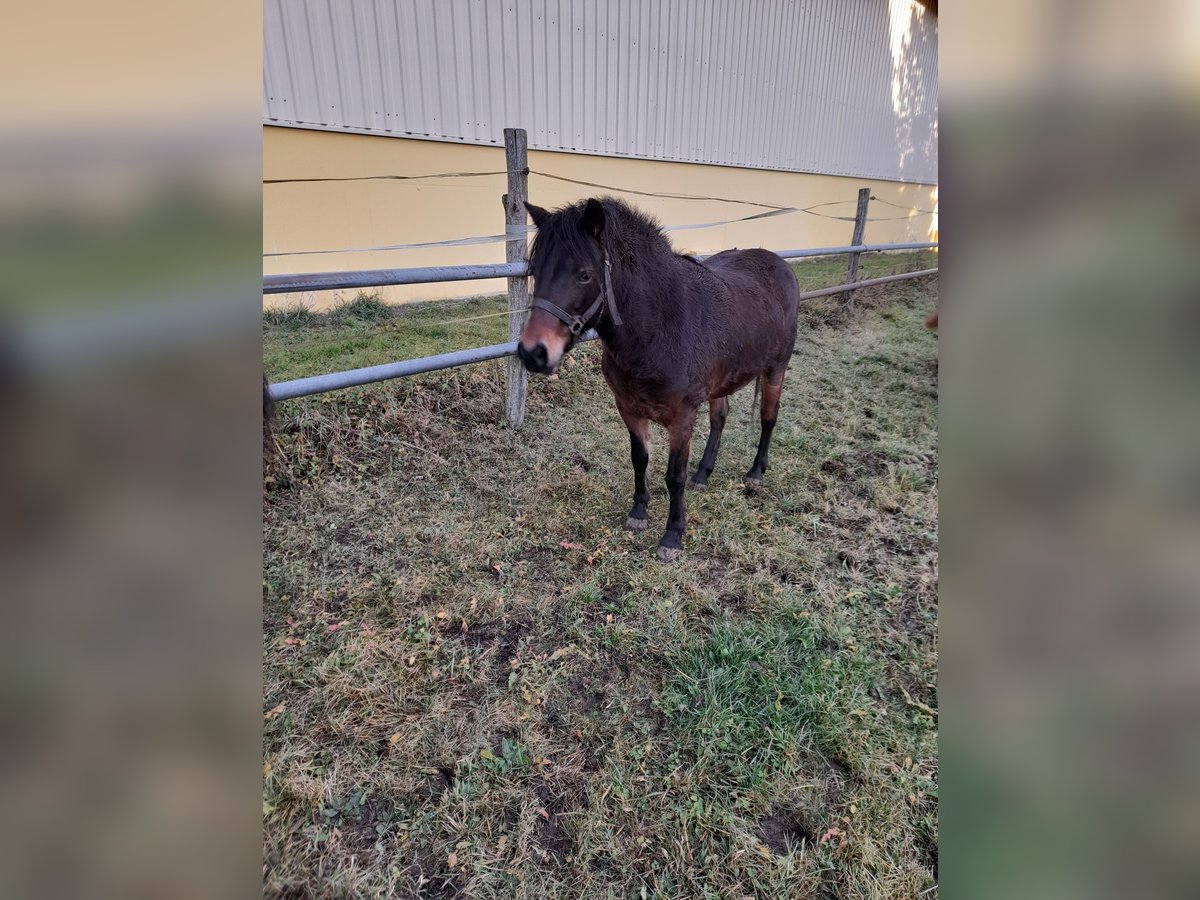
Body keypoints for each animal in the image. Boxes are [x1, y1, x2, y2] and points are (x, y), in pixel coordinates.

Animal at [517, 197, 799, 563]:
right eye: (535, 271)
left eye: (584, 275)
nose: (533, 353)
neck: (658, 327)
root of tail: (779, 264)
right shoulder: (629, 409)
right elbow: (640, 460)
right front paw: (639, 513)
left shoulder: (682, 417)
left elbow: (674, 476)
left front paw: (672, 537)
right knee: (720, 418)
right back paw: (703, 474)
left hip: (776, 368)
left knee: (768, 418)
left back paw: (755, 473)